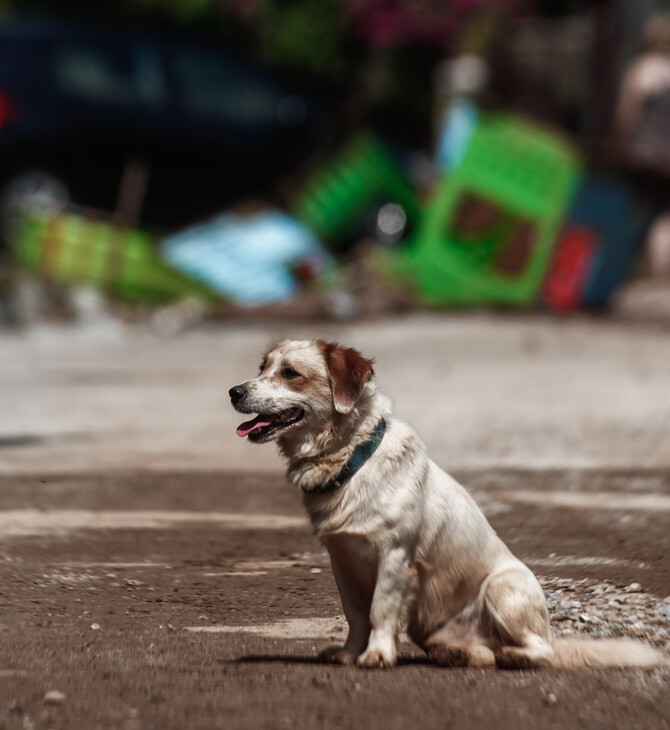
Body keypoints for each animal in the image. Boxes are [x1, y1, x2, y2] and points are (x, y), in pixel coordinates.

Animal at [230, 338, 668, 668]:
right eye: (263, 366)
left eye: (290, 373)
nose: (234, 391)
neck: (352, 460)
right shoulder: (342, 557)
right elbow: (355, 614)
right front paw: (351, 654)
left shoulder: (394, 554)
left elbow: (380, 610)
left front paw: (377, 655)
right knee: (483, 654)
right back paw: (459, 653)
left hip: (505, 589)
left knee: (540, 651)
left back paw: (515, 655)